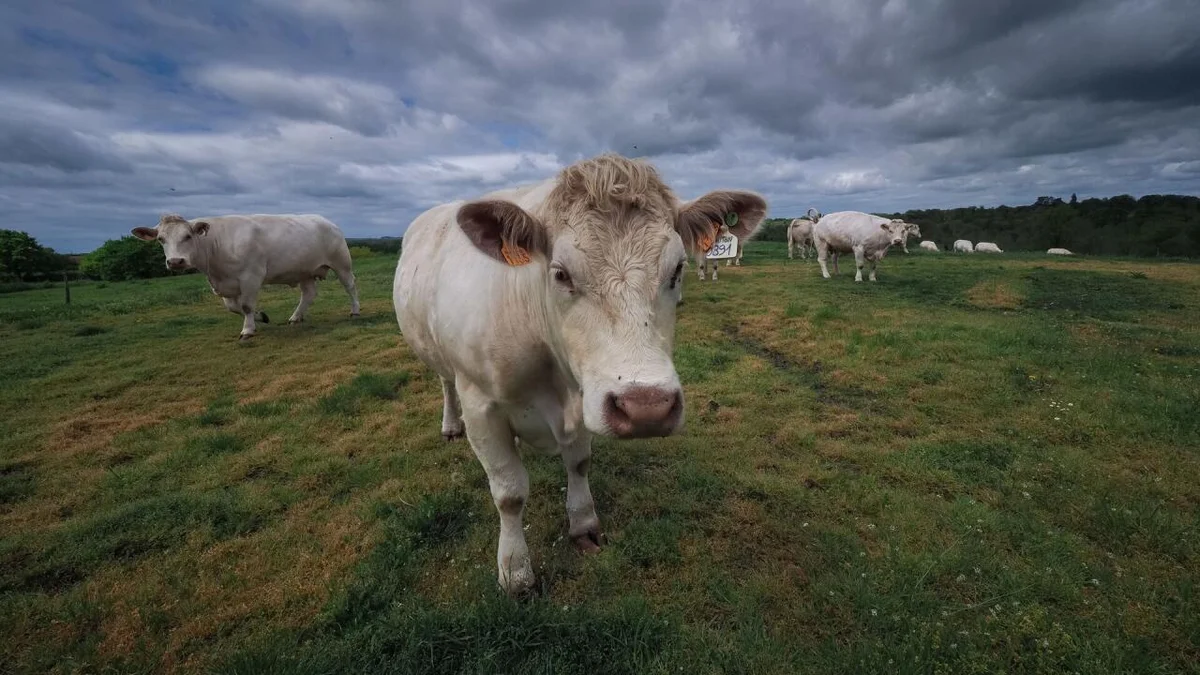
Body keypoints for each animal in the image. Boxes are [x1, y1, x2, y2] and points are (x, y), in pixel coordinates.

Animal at [131, 211, 357, 338]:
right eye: (161, 239)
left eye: (187, 236)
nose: (175, 262)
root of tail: (327, 221)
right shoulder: (226, 285)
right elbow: (234, 307)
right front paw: (260, 317)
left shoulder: (251, 277)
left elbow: (246, 305)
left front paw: (248, 330)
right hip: (303, 271)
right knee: (308, 294)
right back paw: (295, 317)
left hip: (342, 263)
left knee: (350, 286)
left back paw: (355, 311)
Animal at [393, 152, 768, 593]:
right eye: (561, 273)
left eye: (677, 269)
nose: (647, 407)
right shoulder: (481, 405)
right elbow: (509, 492)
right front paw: (515, 570)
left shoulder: (588, 395)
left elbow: (579, 464)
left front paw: (584, 523)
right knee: (444, 382)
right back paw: (451, 425)